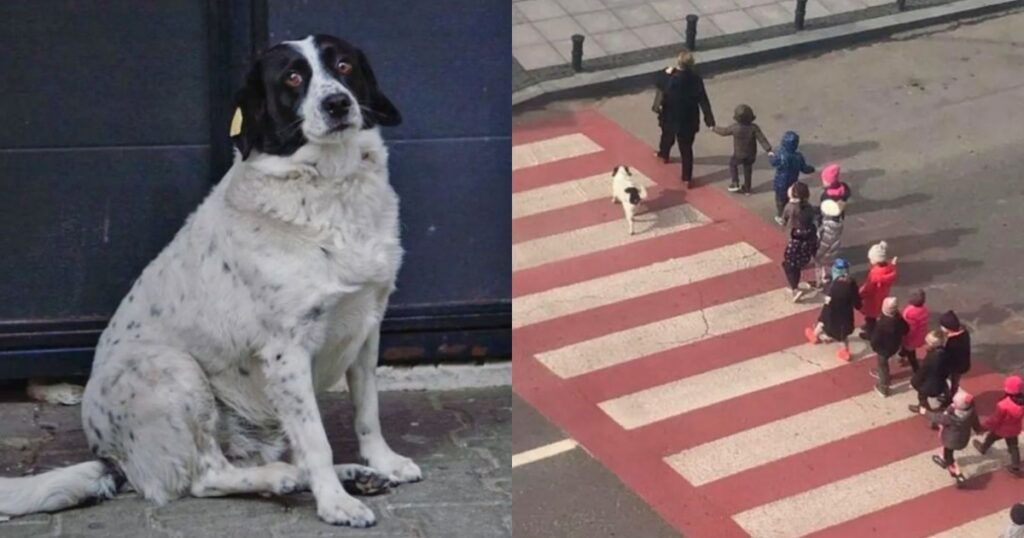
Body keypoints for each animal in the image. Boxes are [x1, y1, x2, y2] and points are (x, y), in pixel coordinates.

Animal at [0, 34, 417, 528]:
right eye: (293, 78)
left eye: (345, 66)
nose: (337, 103)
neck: (330, 187)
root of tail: (109, 454)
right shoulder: (287, 350)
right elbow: (316, 439)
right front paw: (335, 503)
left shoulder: (366, 326)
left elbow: (367, 409)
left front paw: (381, 461)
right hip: (173, 370)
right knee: (206, 475)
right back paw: (287, 478)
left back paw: (351, 473)